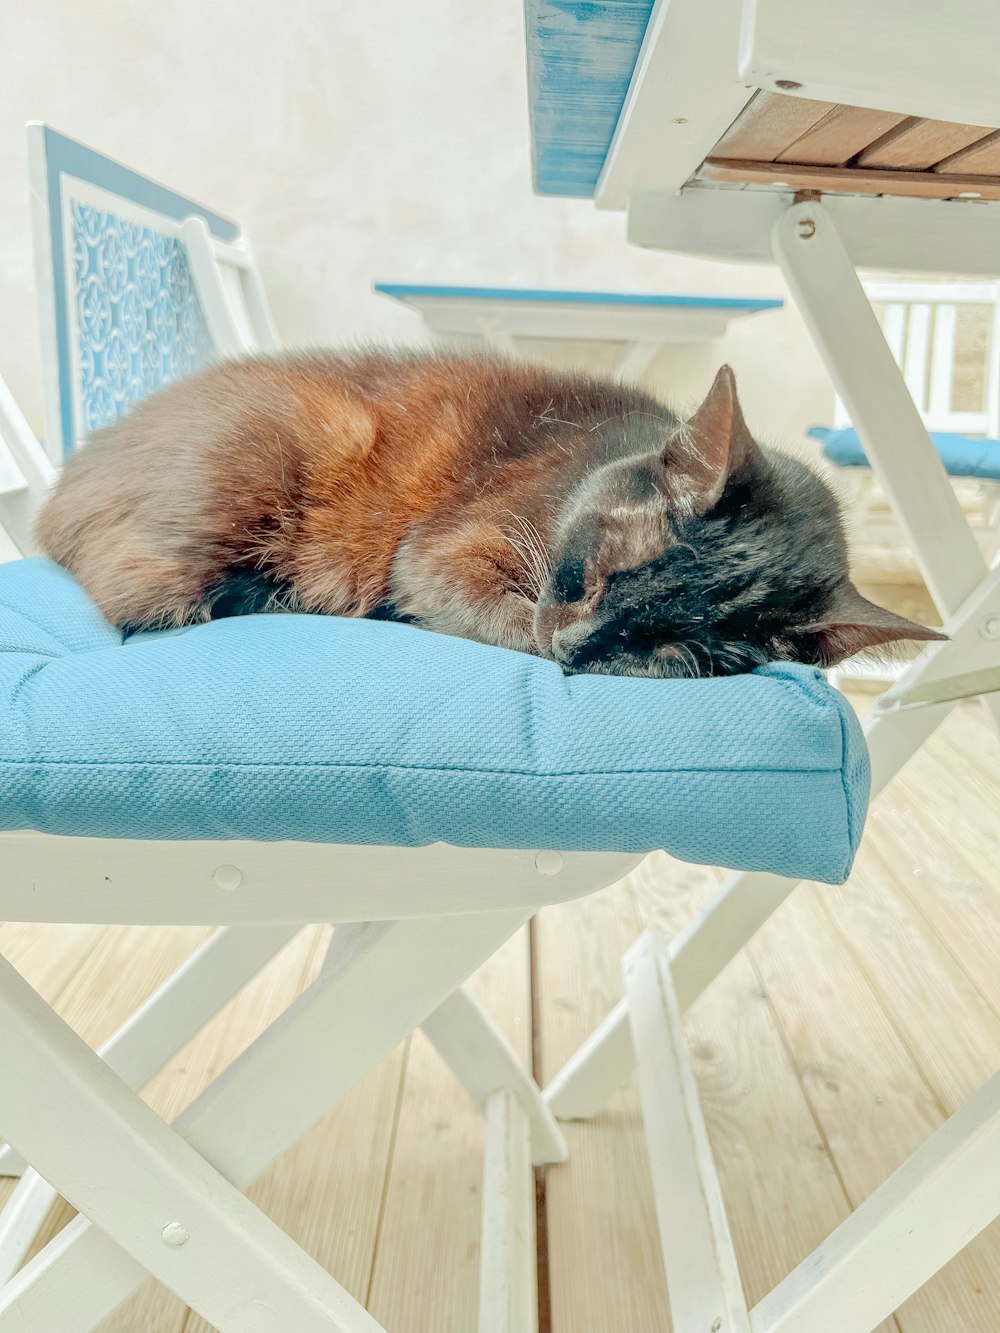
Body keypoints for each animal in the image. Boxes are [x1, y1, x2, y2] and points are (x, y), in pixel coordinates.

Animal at [37, 351, 949, 677]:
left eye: (674, 646)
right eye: (606, 572)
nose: (576, 645)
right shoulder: (445, 552)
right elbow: (493, 610)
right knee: (135, 597)